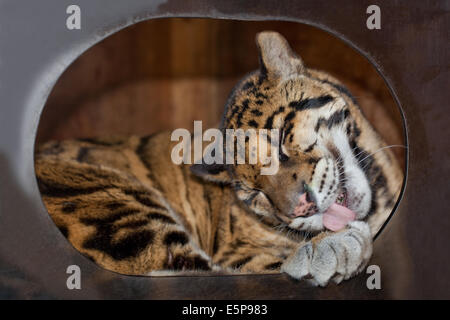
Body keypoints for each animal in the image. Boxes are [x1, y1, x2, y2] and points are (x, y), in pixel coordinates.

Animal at [33, 31, 402, 286]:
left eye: (281, 138)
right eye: (256, 194)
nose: (301, 208)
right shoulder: (238, 252)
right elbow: (260, 267)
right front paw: (326, 250)